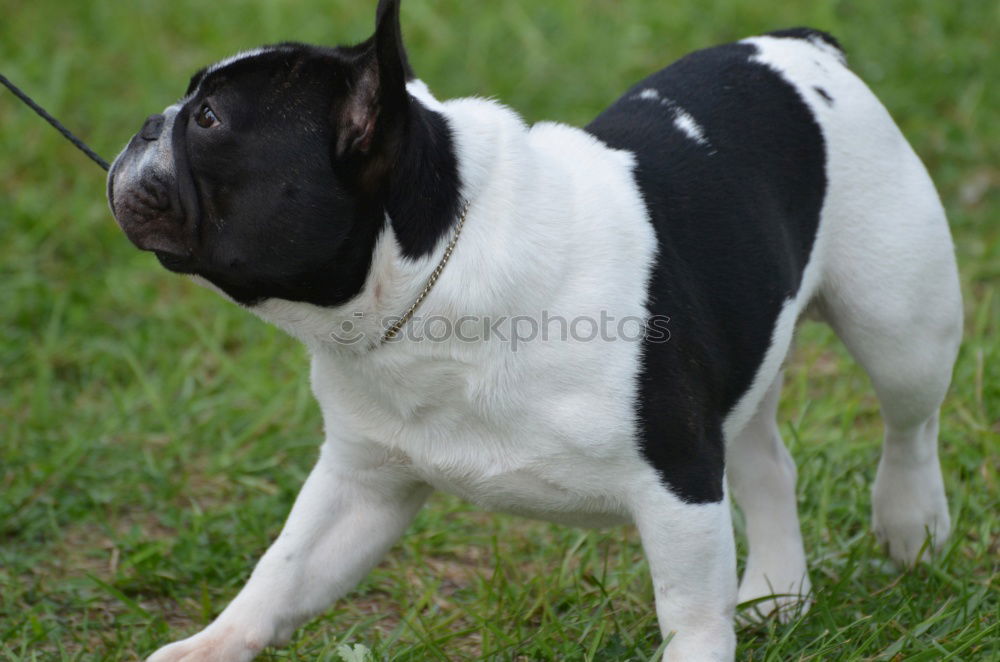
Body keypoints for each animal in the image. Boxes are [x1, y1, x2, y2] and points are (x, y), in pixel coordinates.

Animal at [107, 1, 960, 662]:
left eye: (209, 119)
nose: (148, 123)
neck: (431, 273)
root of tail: (798, 44)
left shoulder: (676, 481)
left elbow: (690, 613)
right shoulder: (362, 482)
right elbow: (282, 571)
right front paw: (211, 646)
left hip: (898, 317)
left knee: (910, 424)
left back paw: (910, 524)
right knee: (765, 465)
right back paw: (779, 593)